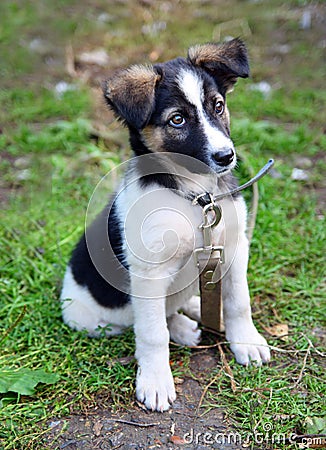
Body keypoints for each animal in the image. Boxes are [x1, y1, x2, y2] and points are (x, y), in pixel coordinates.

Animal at [61, 38, 270, 412]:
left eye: (218, 106)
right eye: (177, 120)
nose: (227, 156)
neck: (194, 197)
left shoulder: (234, 247)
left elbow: (238, 301)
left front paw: (246, 341)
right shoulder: (149, 273)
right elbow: (152, 332)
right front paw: (156, 381)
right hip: (89, 319)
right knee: (150, 318)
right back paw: (183, 326)